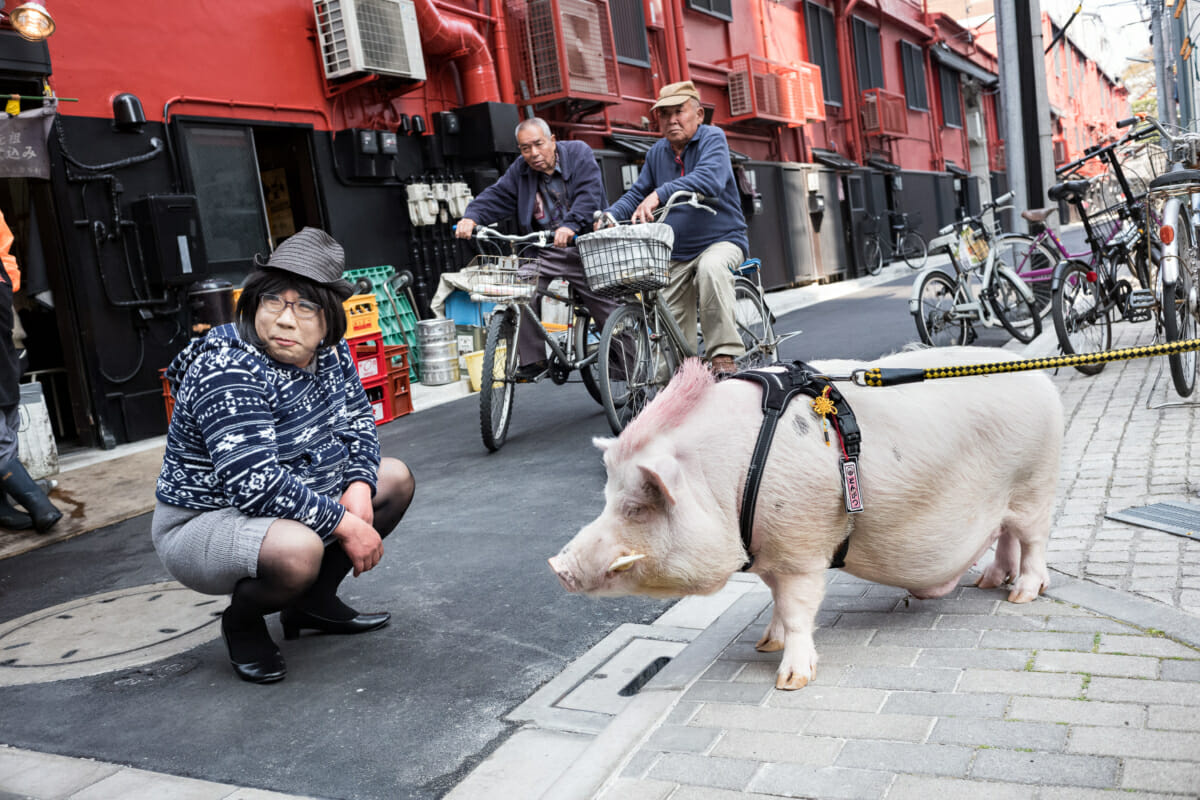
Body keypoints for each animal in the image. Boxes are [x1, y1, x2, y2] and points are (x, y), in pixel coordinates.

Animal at [549, 347, 1065, 690]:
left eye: (636, 507)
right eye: (607, 496)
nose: (558, 566)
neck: (728, 479)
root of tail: (1043, 381)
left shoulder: (802, 548)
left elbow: (798, 609)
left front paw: (790, 680)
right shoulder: (769, 552)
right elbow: (776, 602)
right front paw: (765, 645)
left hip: (1036, 484)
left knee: (1034, 540)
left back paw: (1020, 595)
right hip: (1009, 499)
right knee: (1005, 536)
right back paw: (988, 583)